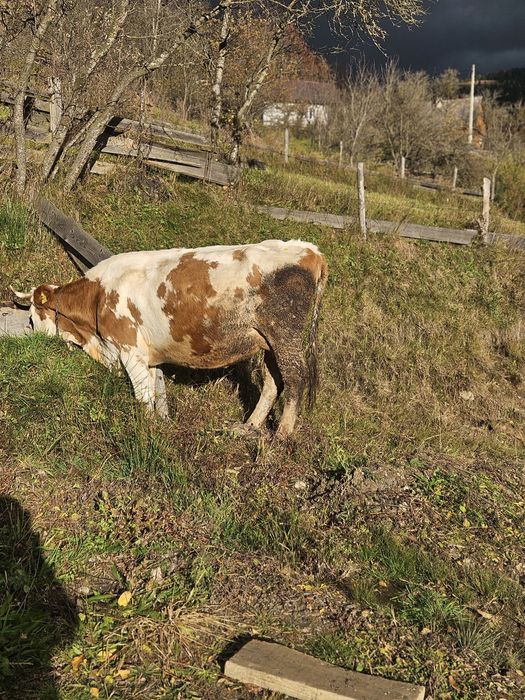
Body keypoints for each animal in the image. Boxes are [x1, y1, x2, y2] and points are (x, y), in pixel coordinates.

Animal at [12, 239, 327, 438]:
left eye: (32, 317)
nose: (37, 345)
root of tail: (307, 249)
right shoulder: (148, 358)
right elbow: (155, 395)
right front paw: (158, 425)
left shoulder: (130, 351)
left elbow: (143, 397)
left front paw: (144, 431)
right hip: (268, 342)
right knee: (274, 381)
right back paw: (247, 427)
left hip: (285, 336)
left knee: (294, 378)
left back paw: (282, 436)